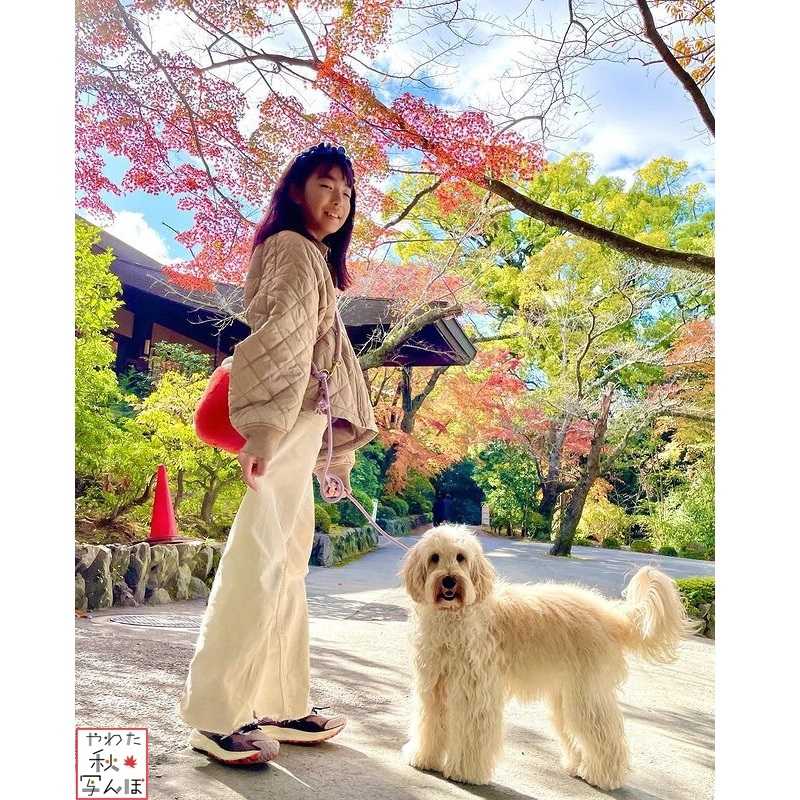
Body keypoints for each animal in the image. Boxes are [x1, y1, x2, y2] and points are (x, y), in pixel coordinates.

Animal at [400, 524, 700, 788]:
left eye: (460, 557)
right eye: (434, 558)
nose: (449, 580)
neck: (455, 617)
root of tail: (611, 615)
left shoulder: (474, 693)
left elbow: (471, 734)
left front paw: (466, 772)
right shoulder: (434, 687)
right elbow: (429, 723)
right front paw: (424, 758)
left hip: (585, 694)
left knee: (605, 733)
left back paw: (605, 777)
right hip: (566, 696)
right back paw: (579, 767)